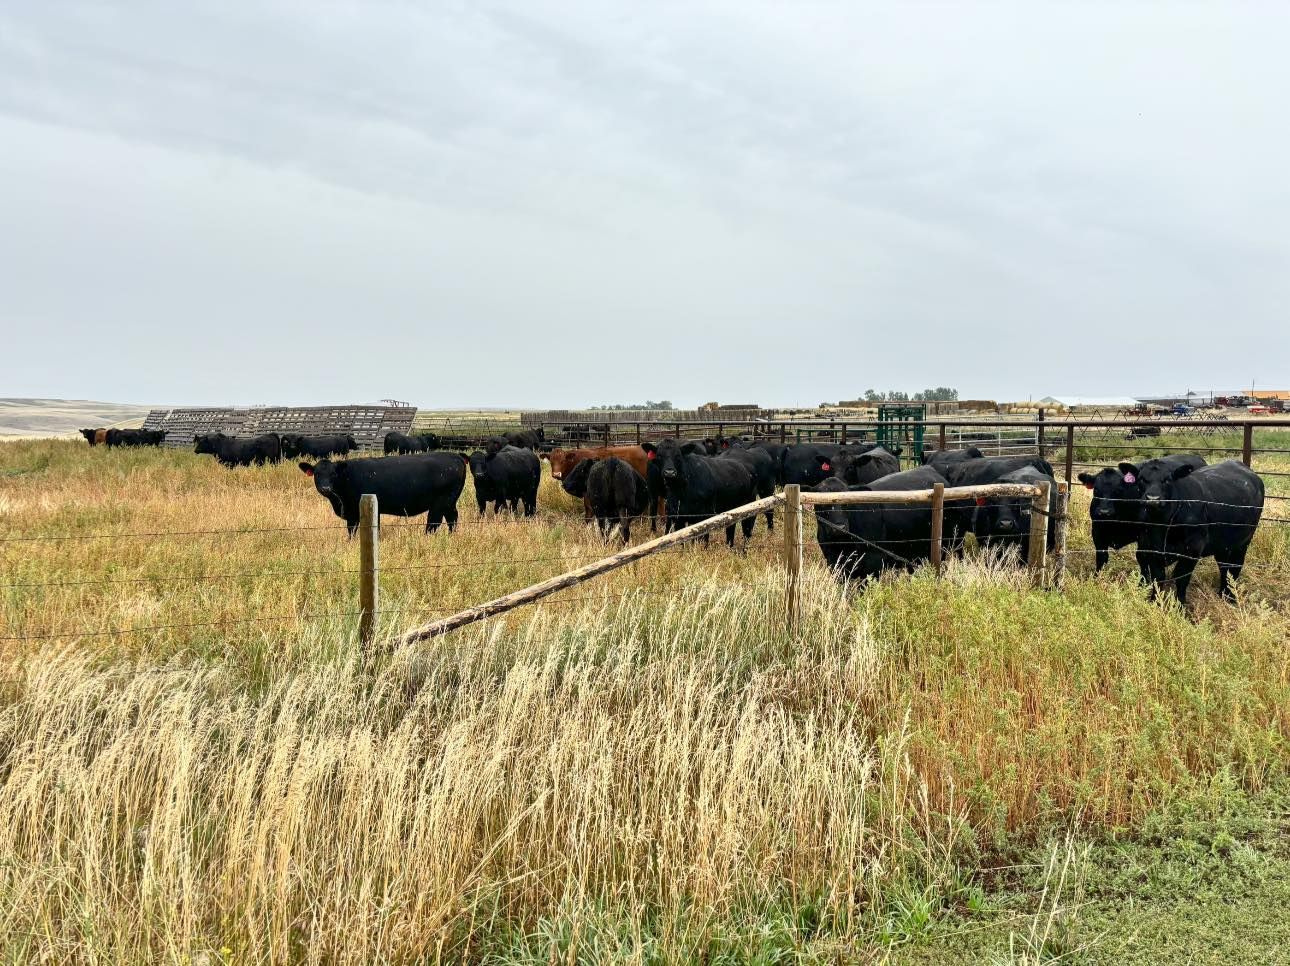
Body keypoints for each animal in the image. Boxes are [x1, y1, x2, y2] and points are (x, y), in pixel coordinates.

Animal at [298, 452, 467, 536]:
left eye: (333, 474)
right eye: (317, 474)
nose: (325, 488)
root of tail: (455, 456)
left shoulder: (360, 511)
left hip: (440, 503)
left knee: (433, 524)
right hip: (450, 503)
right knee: (452, 519)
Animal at [810, 465, 950, 582]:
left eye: (847, 502)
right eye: (821, 503)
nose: (839, 528)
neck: (843, 544)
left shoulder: (874, 561)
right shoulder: (834, 563)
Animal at [1077, 455, 1206, 572]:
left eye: (1118, 490)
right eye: (1096, 489)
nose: (1104, 512)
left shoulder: (1144, 535)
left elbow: (1142, 557)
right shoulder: (1097, 531)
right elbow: (1101, 557)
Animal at [1130, 458, 1264, 604]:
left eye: (1168, 479)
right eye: (1141, 479)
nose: (1153, 499)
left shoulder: (1193, 549)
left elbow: (1181, 577)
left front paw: (1180, 605)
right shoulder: (1150, 548)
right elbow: (1157, 577)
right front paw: (1155, 601)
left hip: (1243, 541)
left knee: (1235, 566)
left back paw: (1231, 597)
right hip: (1223, 544)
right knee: (1224, 568)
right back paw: (1223, 593)